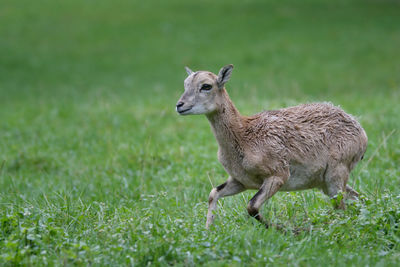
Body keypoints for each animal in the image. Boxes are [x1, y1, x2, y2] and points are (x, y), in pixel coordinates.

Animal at [177, 65, 368, 230]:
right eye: (185, 84)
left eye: (206, 86)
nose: (180, 105)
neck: (243, 134)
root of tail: (361, 132)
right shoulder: (240, 181)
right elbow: (213, 193)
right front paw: (208, 229)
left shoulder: (277, 175)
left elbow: (252, 206)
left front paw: (284, 229)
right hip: (325, 183)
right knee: (356, 198)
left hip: (336, 175)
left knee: (342, 207)